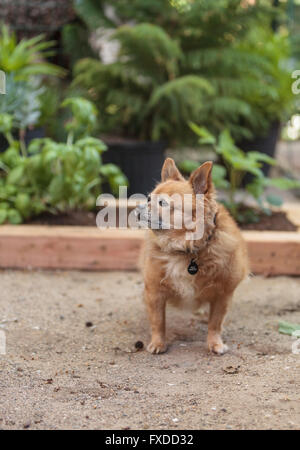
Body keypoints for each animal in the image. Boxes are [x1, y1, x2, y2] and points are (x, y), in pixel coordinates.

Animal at [141, 158, 248, 356]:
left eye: (163, 203)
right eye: (149, 199)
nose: (139, 206)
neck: (185, 249)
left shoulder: (223, 295)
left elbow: (215, 323)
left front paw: (214, 343)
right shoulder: (154, 291)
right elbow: (158, 321)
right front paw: (158, 343)